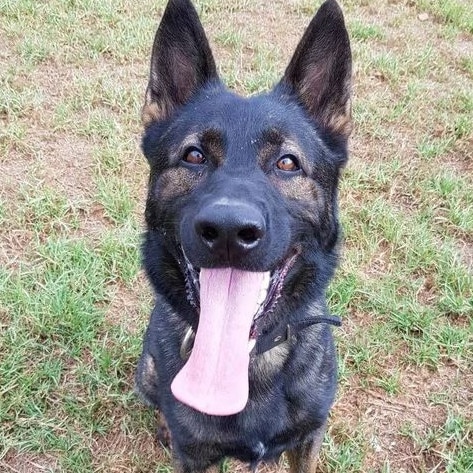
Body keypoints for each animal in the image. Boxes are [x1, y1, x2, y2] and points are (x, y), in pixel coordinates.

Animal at [135, 0, 352, 470]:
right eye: (193, 155)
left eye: (287, 163)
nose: (229, 232)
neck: (244, 362)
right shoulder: (195, 456)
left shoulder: (310, 435)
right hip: (147, 371)